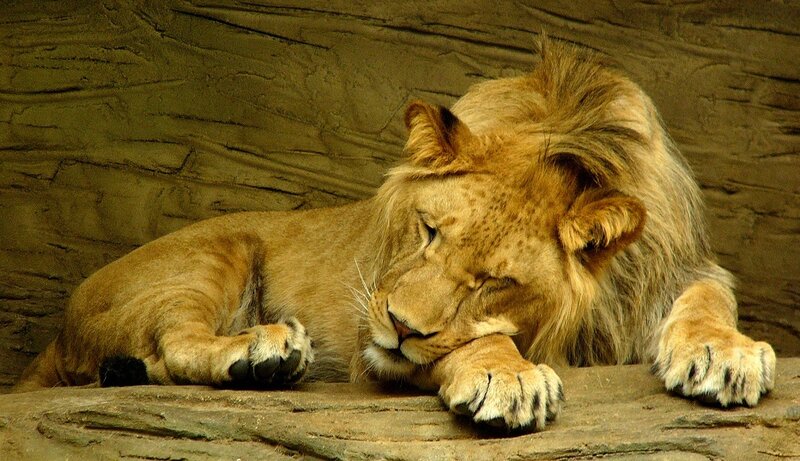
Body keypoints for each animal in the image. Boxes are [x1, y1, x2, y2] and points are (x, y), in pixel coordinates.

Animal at [13, 39, 776, 433]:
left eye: (496, 280)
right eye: (427, 230)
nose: (402, 325)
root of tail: (54, 334)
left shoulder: (682, 267)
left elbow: (710, 301)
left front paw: (728, 355)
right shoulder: (369, 350)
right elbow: (470, 345)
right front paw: (507, 374)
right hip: (217, 251)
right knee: (170, 345)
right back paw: (266, 351)